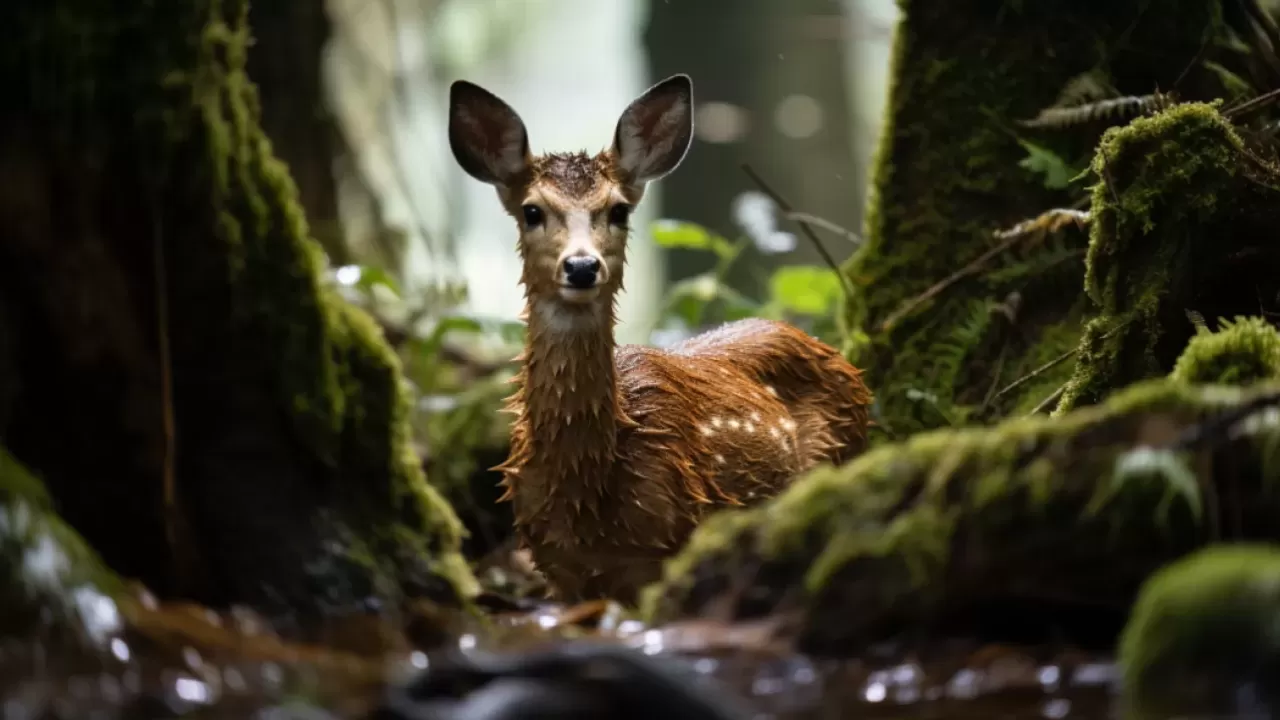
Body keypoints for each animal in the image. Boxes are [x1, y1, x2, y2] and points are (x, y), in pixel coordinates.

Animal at [445, 73, 875, 602]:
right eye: (531, 211)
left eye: (619, 210)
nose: (582, 266)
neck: (586, 491)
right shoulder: (557, 566)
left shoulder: (666, 544)